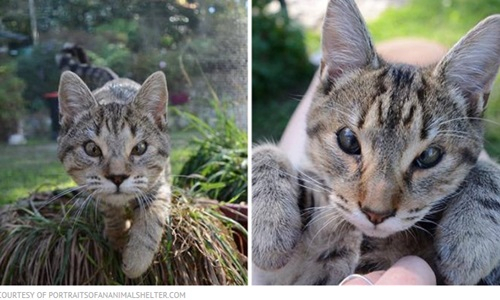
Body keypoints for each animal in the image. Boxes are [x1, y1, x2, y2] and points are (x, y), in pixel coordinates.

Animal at [57, 69, 171, 278]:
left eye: (140, 148)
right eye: (92, 149)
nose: (118, 177)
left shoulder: (159, 183)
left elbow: (152, 215)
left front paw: (136, 258)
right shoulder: (98, 192)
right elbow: (108, 208)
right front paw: (117, 235)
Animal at [252, 0, 500, 286]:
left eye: (429, 156)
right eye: (348, 140)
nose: (376, 214)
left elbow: (489, 169)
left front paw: (470, 241)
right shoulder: (289, 274)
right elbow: (264, 152)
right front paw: (270, 228)